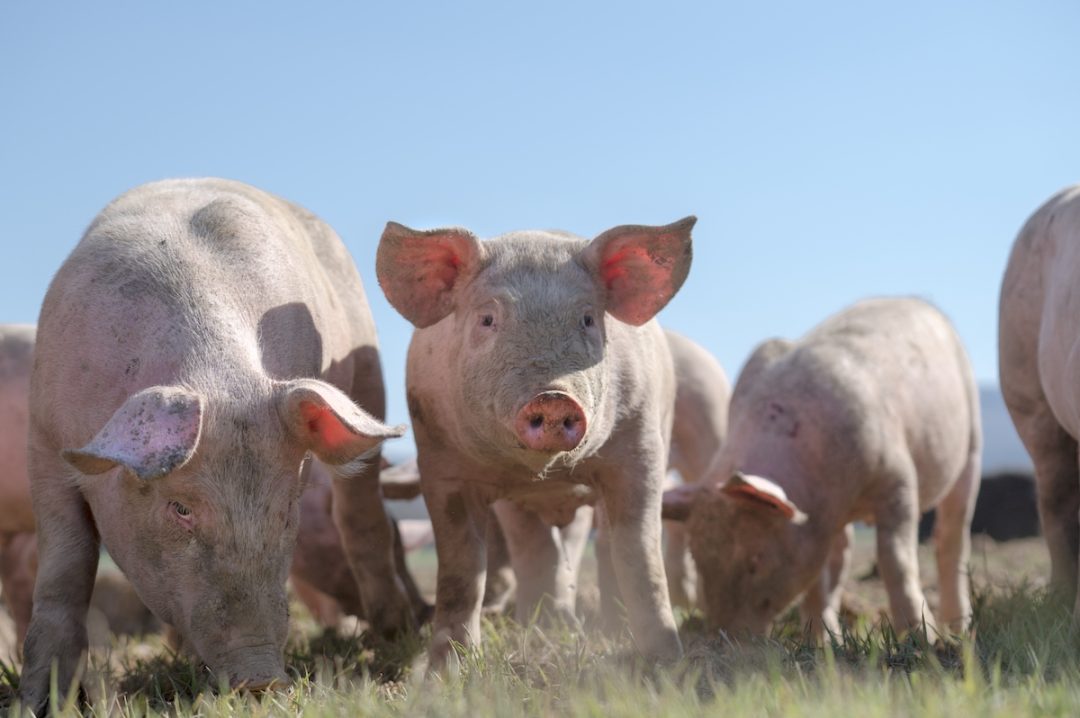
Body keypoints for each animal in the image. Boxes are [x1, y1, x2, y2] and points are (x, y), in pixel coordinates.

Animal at [20, 178, 407, 711]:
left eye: (286, 508)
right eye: (180, 508)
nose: (261, 678)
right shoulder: (44, 441)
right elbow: (66, 567)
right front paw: (38, 703)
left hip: (367, 368)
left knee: (361, 513)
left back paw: (394, 632)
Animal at [376, 217, 695, 664]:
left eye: (587, 319)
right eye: (487, 319)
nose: (554, 397)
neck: (545, 471)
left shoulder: (642, 447)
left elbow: (640, 552)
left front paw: (667, 662)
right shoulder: (441, 463)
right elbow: (462, 567)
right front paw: (446, 669)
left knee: (599, 543)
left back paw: (601, 626)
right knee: (537, 544)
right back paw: (547, 625)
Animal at [663, 298, 981, 638]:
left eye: (755, 560)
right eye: (700, 559)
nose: (724, 638)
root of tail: (918, 300)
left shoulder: (898, 477)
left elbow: (895, 557)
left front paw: (922, 638)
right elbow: (818, 578)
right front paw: (822, 643)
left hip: (971, 442)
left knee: (952, 536)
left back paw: (958, 629)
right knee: (842, 556)